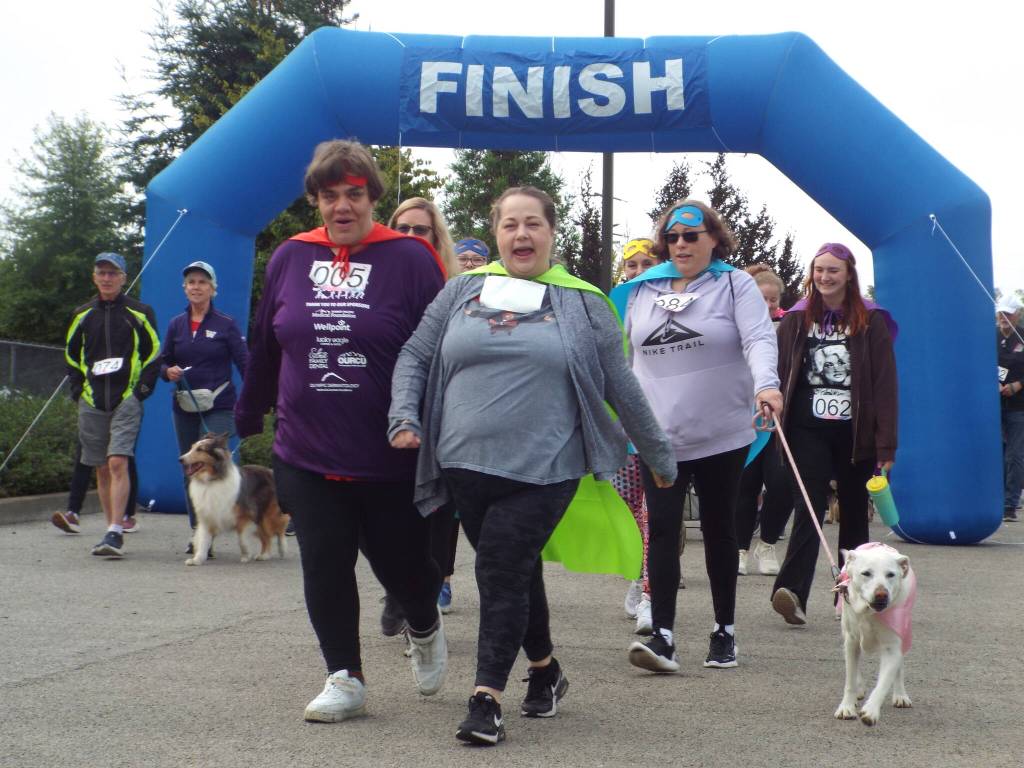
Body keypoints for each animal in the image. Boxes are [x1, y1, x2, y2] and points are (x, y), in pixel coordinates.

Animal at [179, 433, 290, 566]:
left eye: (200, 449)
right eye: (191, 448)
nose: (180, 459)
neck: (212, 481)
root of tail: (270, 471)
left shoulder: (245, 517)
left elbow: (242, 540)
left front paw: (246, 556)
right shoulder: (207, 517)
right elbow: (203, 540)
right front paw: (197, 559)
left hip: (267, 515)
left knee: (280, 527)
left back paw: (281, 548)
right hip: (259, 518)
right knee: (266, 537)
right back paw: (264, 555)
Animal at [833, 542, 916, 725]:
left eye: (890, 574)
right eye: (866, 573)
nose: (881, 594)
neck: (869, 612)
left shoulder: (892, 647)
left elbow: (884, 682)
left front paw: (871, 711)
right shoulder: (851, 641)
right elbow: (850, 678)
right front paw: (846, 707)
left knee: (899, 669)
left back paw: (900, 695)